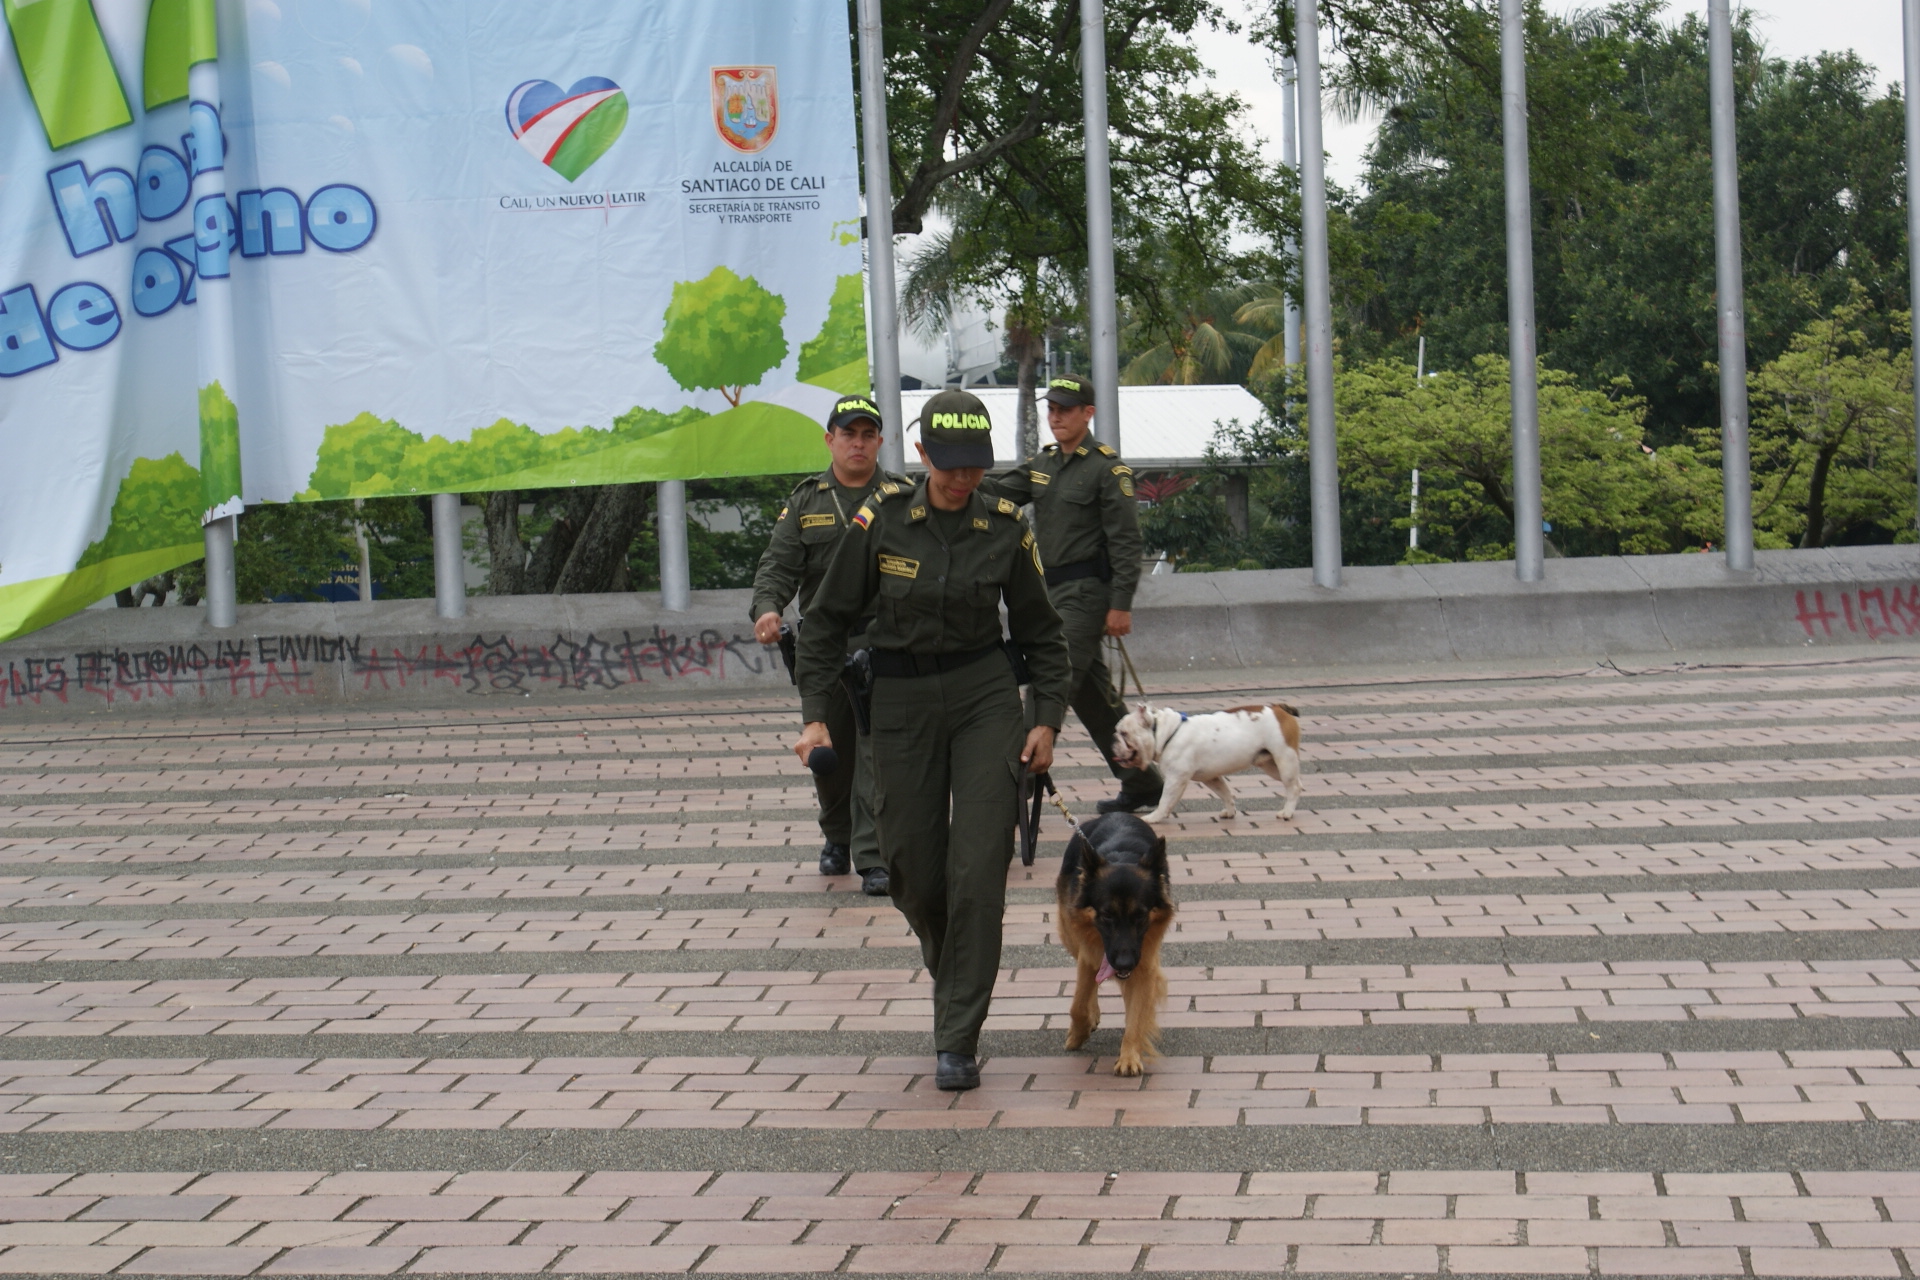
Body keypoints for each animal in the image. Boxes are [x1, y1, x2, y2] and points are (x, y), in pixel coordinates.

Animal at [1056, 812, 1176, 1076]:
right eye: (1107, 915)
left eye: (1140, 916)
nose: (1124, 963)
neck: (1122, 858)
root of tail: (1116, 813)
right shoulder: (1089, 955)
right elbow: (1078, 1005)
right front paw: (1078, 1033)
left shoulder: (1144, 964)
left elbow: (1136, 1015)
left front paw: (1129, 1056)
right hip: (1070, 935)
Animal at [1111, 701, 1304, 825]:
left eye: (1124, 733)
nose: (1113, 739)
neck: (1164, 734)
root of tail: (1279, 708)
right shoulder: (1211, 778)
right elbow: (1225, 793)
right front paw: (1230, 812)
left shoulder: (1176, 779)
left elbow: (1165, 800)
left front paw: (1154, 817)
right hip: (1271, 765)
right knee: (1296, 784)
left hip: (1284, 759)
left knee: (1293, 787)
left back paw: (1287, 813)